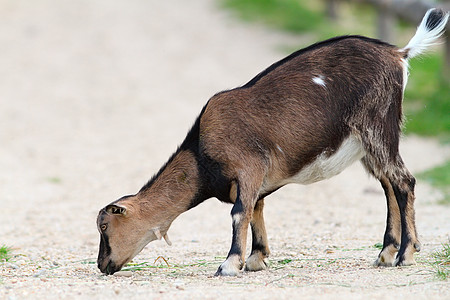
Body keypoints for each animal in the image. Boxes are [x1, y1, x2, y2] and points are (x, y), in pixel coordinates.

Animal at [96, 8, 448, 276]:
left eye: (104, 226)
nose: (102, 265)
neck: (200, 156)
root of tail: (399, 54)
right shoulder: (254, 181)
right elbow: (256, 209)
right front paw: (256, 258)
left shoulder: (248, 166)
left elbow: (239, 213)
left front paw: (229, 264)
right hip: (370, 141)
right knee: (388, 185)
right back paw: (387, 252)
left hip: (377, 125)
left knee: (403, 181)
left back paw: (405, 254)